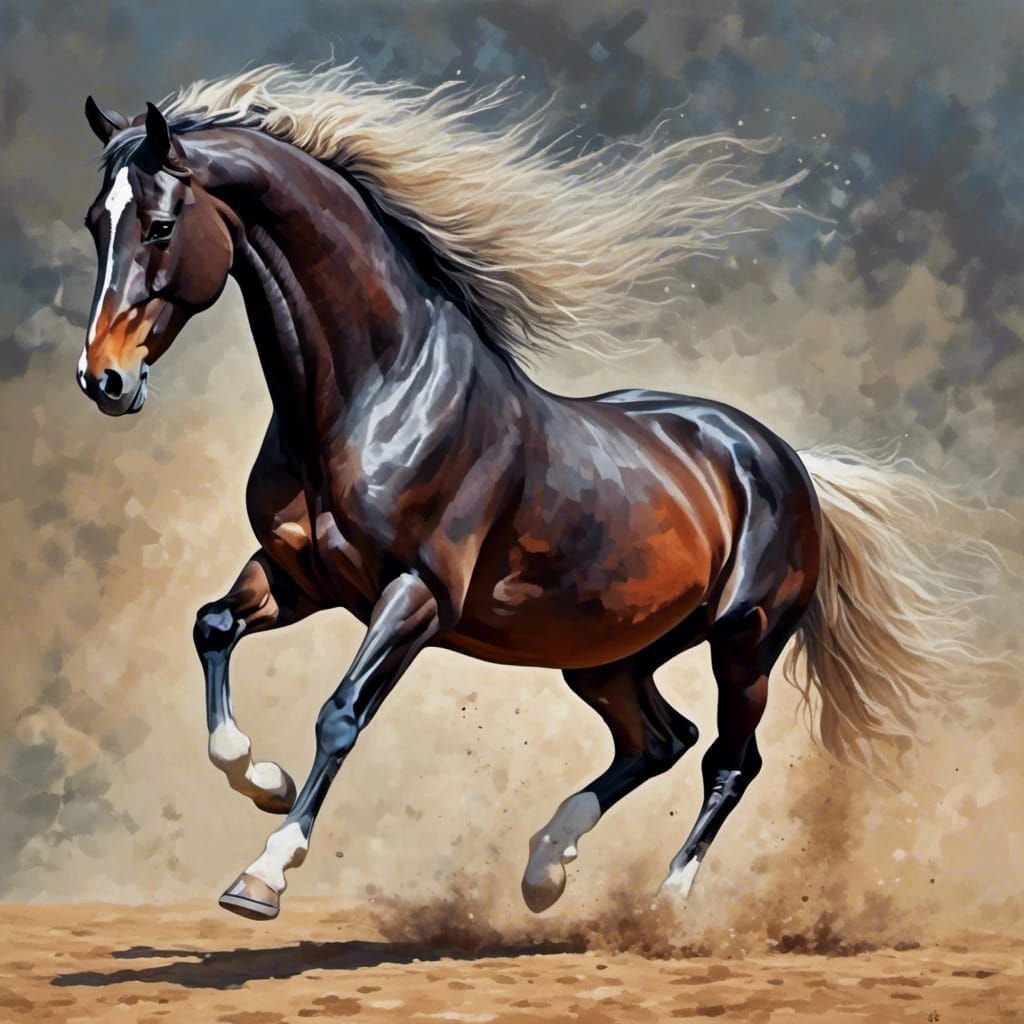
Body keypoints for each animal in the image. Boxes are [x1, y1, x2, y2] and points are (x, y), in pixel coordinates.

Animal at [76, 67, 986, 922]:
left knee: (728, 760)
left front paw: (263, 875)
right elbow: (212, 627)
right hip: (610, 655)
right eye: (95, 223)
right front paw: (264, 779)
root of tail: (785, 459)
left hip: (745, 641)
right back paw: (546, 869)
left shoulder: (416, 596)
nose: (103, 381)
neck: (378, 394)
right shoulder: (302, 577)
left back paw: (665, 905)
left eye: (160, 226)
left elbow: (340, 712)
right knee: (660, 740)